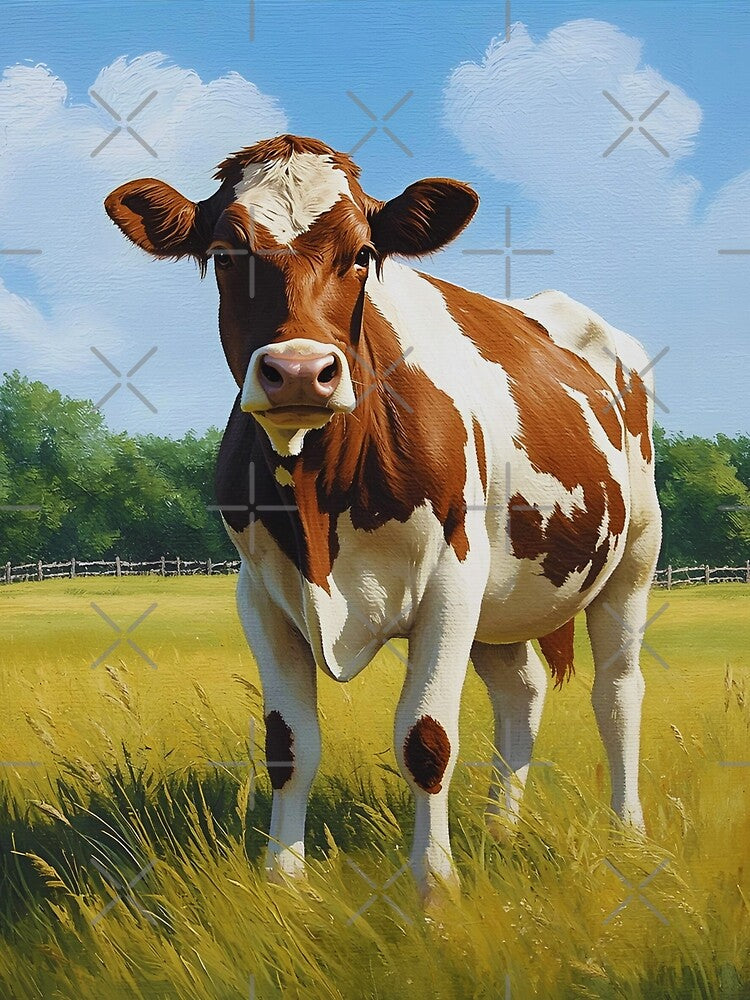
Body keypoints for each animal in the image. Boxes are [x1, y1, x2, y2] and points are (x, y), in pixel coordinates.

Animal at [105, 134, 661, 898]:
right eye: (224, 253)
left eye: (364, 253)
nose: (300, 371)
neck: (321, 500)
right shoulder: (260, 593)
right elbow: (288, 745)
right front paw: (284, 882)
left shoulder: (451, 580)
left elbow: (426, 739)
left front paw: (434, 887)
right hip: (502, 595)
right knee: (520, 690)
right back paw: (501, 827)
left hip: (633, 559)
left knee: (618, 693)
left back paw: (627, 835)